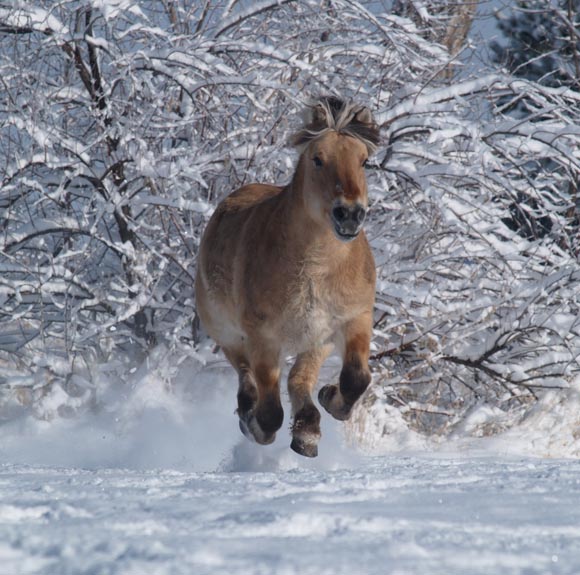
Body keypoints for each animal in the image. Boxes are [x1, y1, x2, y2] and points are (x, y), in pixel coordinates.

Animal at [197, 99, 380, 460]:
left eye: (364, 161)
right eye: (317, 158)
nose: (350, 214)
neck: (317, 270)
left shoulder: (351, 319)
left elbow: (355, 378)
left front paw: (328, 401)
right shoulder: (263, 338)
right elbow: (270, 413)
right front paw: (256, 426)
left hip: (314, 340)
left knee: (298, 379)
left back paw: (308, 429)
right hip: (229, 335)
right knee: (247, 379)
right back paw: (250, 416)